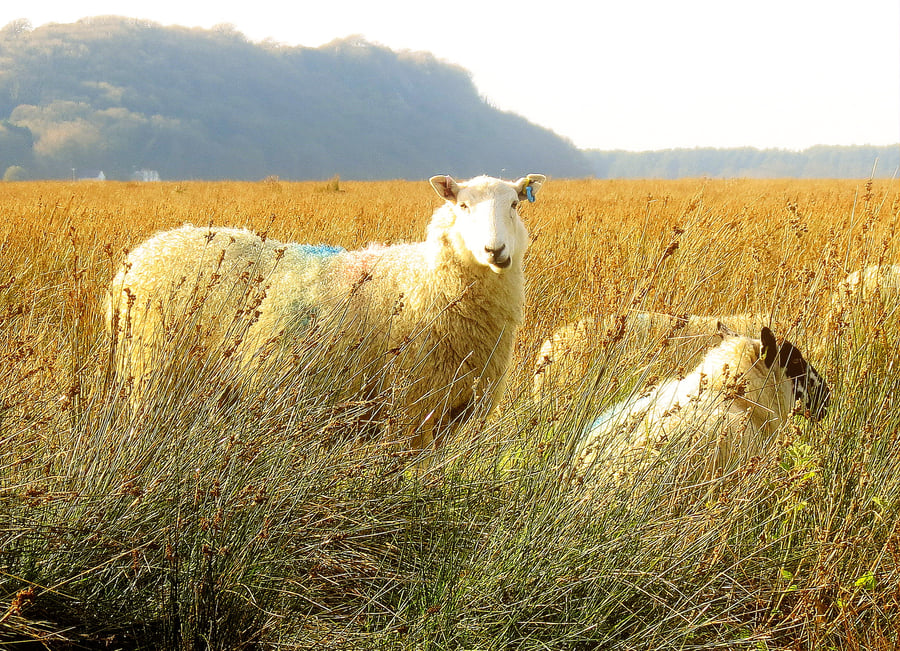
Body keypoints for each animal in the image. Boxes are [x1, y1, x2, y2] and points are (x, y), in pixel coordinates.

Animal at [107, 173, 546, 449]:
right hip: (153, 371)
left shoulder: (454, 412)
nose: (495, 250)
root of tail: (140, 256)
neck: (424, 279)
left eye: (514, 205)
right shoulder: (408, 407)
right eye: (464, 205)